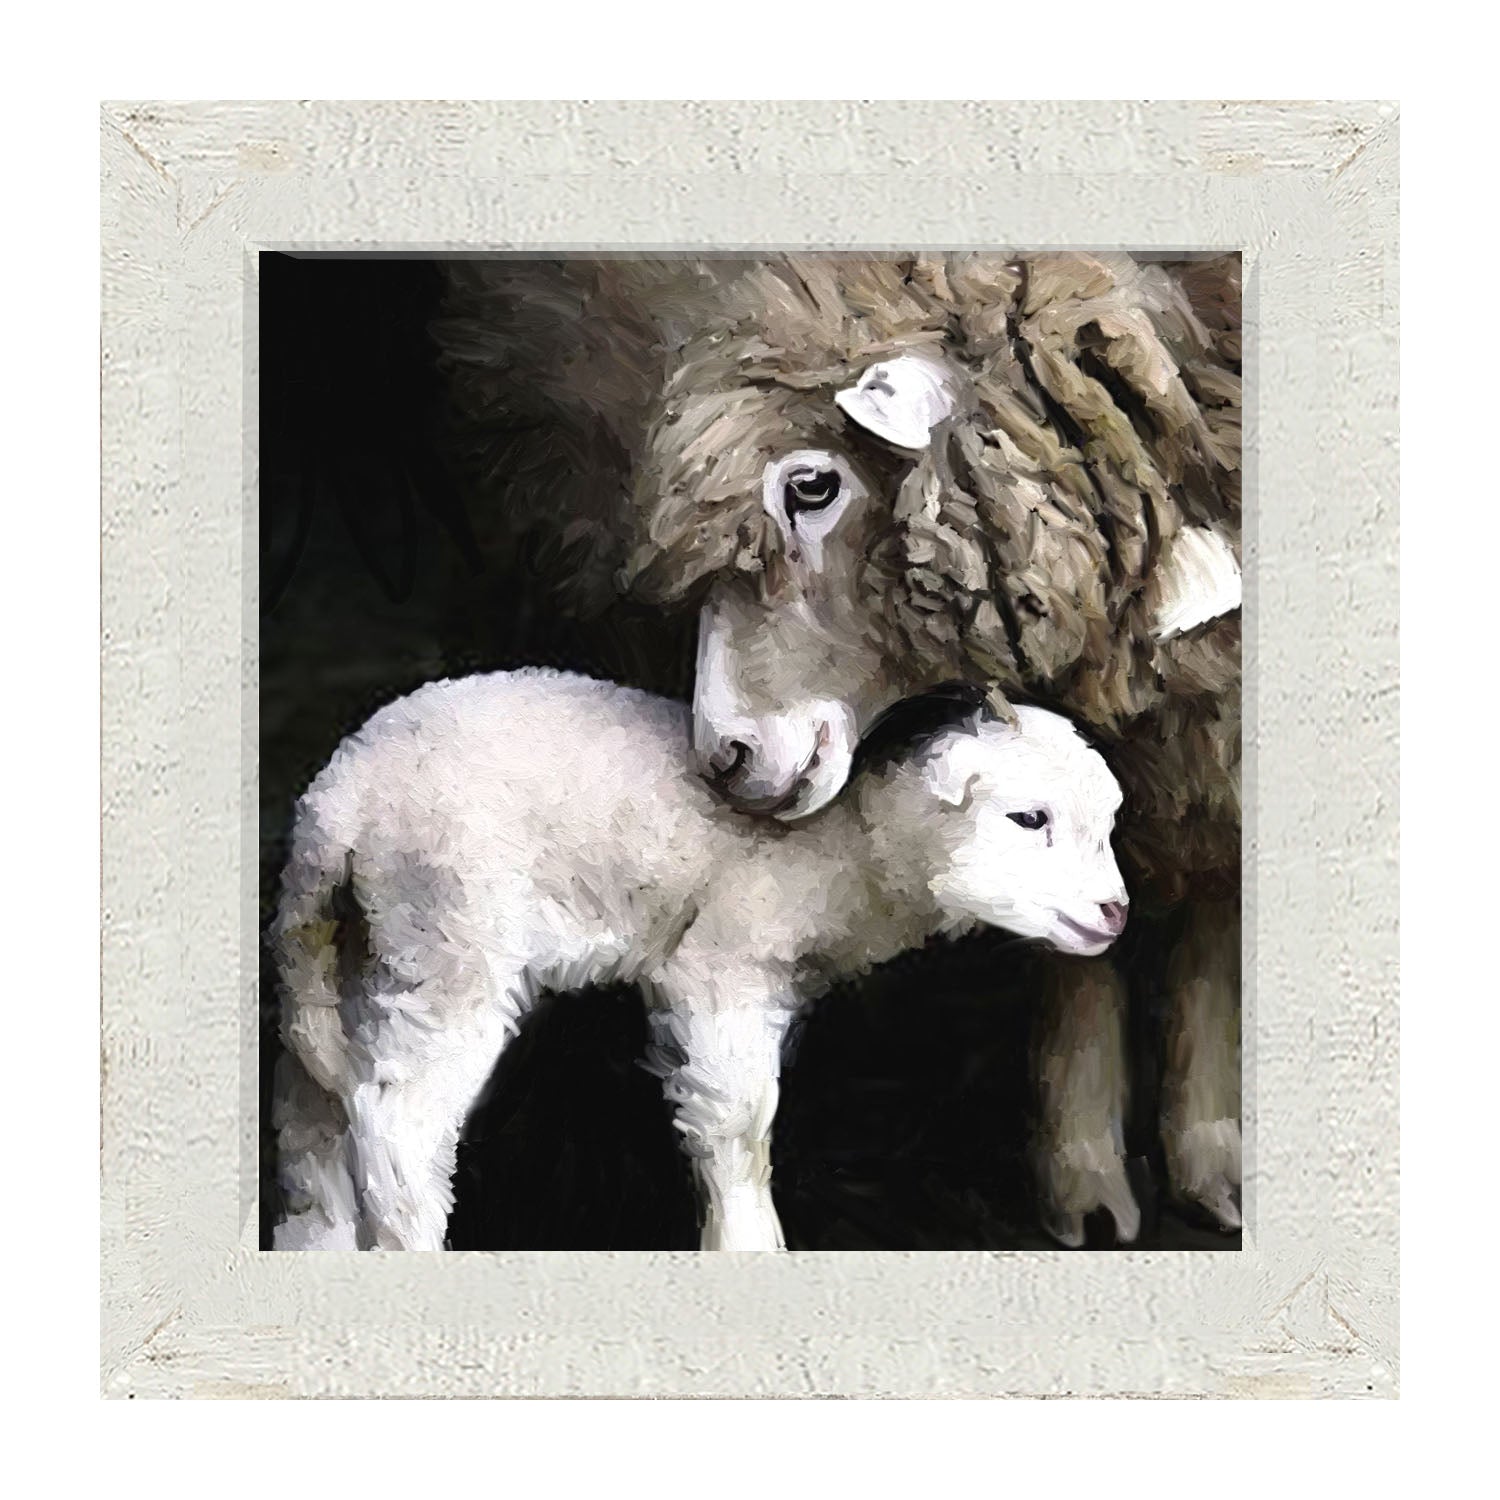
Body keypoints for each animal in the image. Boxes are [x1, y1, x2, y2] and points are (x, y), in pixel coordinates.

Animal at [271, 668, 1128, 1252]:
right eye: (1028, 818)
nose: (1115, 913)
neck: (850, 851)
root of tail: (335, 805)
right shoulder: (722, 966)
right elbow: (740, 1124)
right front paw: (749, 1246)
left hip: (368, 950)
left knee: (317, 1116)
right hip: (452, 939)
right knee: (398, 1122)